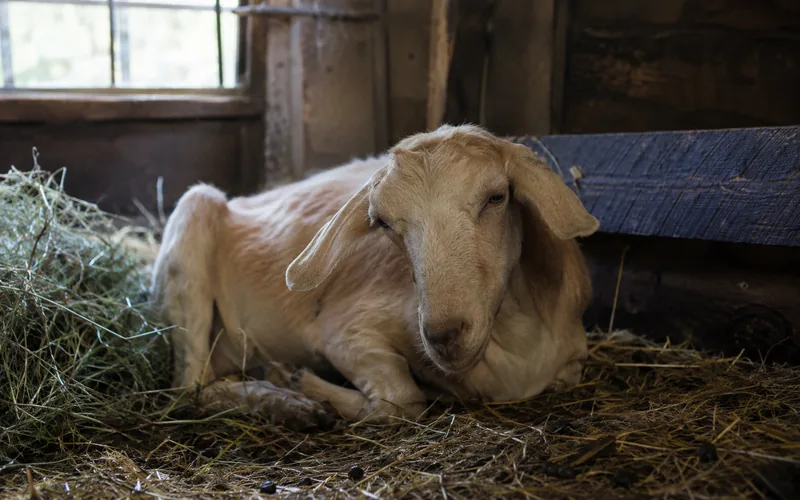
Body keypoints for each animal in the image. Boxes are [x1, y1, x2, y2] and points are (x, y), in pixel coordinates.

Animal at [150, 124, 599, 429]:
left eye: (497, 197)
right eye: (382, 223)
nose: (443, 335)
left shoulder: (573, 359)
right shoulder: (344, 330)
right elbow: (401, 400)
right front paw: (304, 386)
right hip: (191, 227)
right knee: (189, 387)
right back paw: (286, 402)